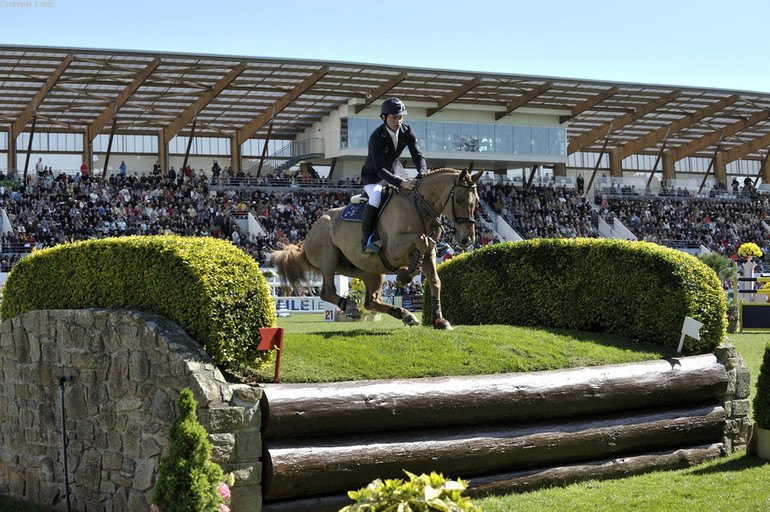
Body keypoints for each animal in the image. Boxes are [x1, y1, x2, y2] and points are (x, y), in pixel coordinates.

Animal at [272, 166, 480, 330]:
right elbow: (422, 241)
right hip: (328, 259)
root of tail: (309, 235)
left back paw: (404, 314)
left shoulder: (429, 254)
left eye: (477, 201)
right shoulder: (394, 249)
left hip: (370, 270)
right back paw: (351, 307)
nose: (467, 239)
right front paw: (404, 275)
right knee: (327, 292)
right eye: (459, 200)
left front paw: (439, 320)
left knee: (370, 301)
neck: (420, 208)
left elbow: (435, 281)